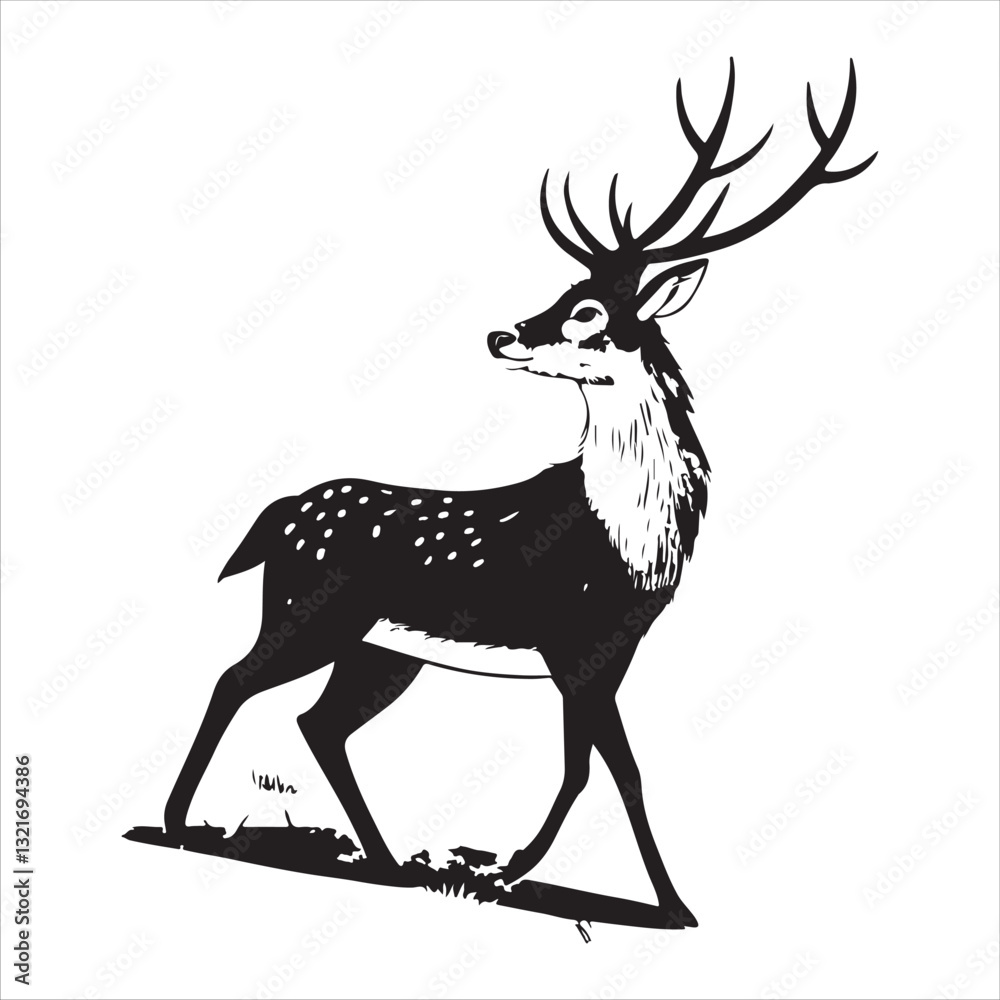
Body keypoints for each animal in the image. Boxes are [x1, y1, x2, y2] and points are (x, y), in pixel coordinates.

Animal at [163, 59, 874, 928]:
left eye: (589, 309)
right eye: (564, 290)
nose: (501, 333)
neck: (632, 541)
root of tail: (280, 514)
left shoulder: (610, 650)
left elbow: (601, 768)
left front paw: (597, 885)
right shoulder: (576, 642)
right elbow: (607, 768)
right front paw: (615, 890)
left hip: (379, 648)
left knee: (319, 722)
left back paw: (387, 860)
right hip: (313, 610)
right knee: (236, 680)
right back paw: (178, 824)